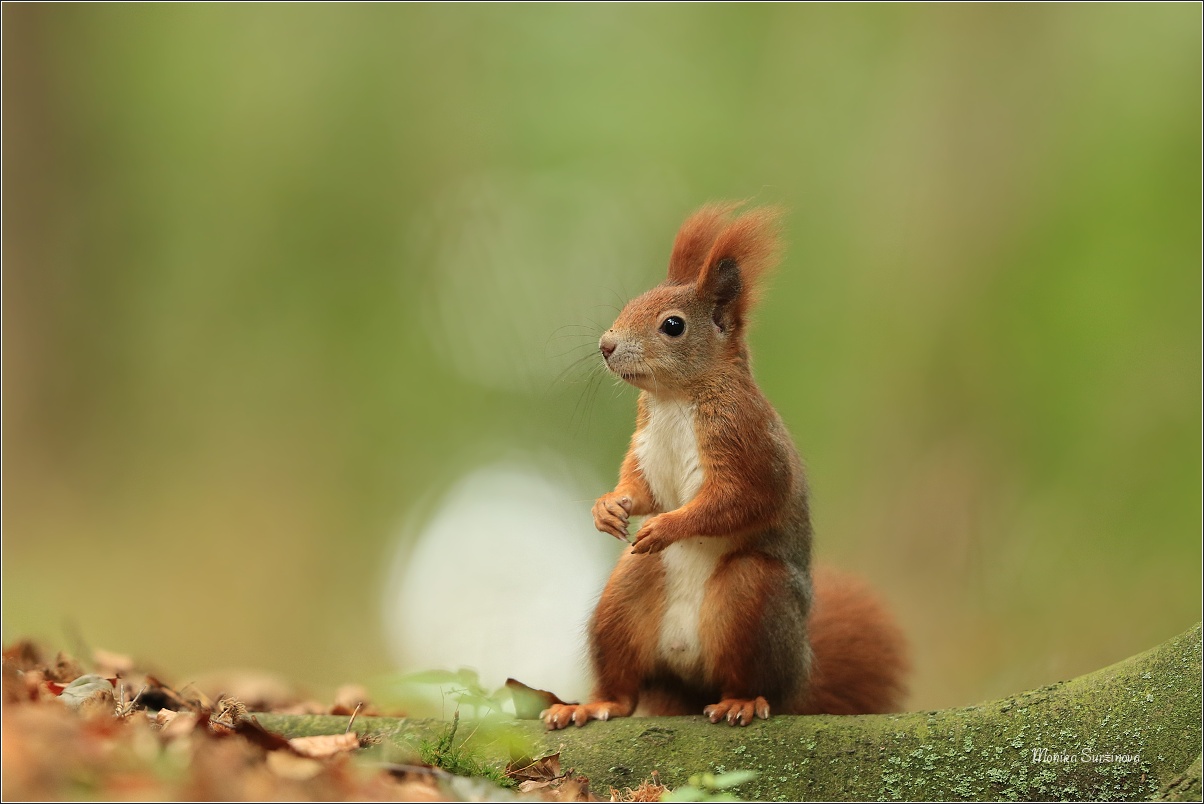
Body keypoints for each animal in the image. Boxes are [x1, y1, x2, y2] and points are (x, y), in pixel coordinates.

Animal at [544, 202, 905, 726]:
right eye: (632, 302)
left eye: (673, 325)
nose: (606, 346)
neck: (675, 399)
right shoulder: (647, 443)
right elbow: (642, 487)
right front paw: (608, 506)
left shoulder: (746, 439)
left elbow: (743, 497)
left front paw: (668, 526)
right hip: (625, 597)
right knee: (624, 689)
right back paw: (593, 705)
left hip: (753, 597)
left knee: (756, 679)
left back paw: (742, 701)